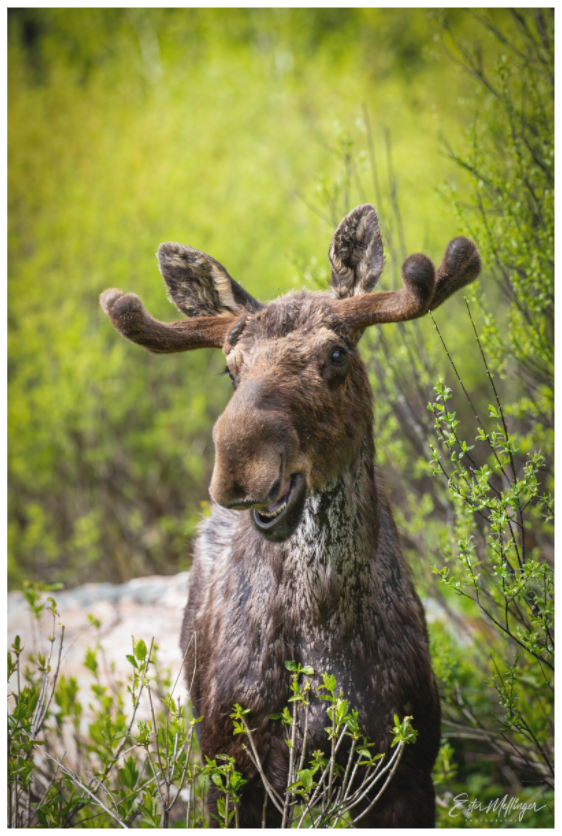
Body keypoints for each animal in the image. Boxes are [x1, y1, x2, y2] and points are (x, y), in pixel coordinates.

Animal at [100, 204, 481, 827]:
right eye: (230, 369)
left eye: (336, 354)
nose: (238, 465)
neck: (324, 631)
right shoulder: (233, 771)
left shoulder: (408, 771)